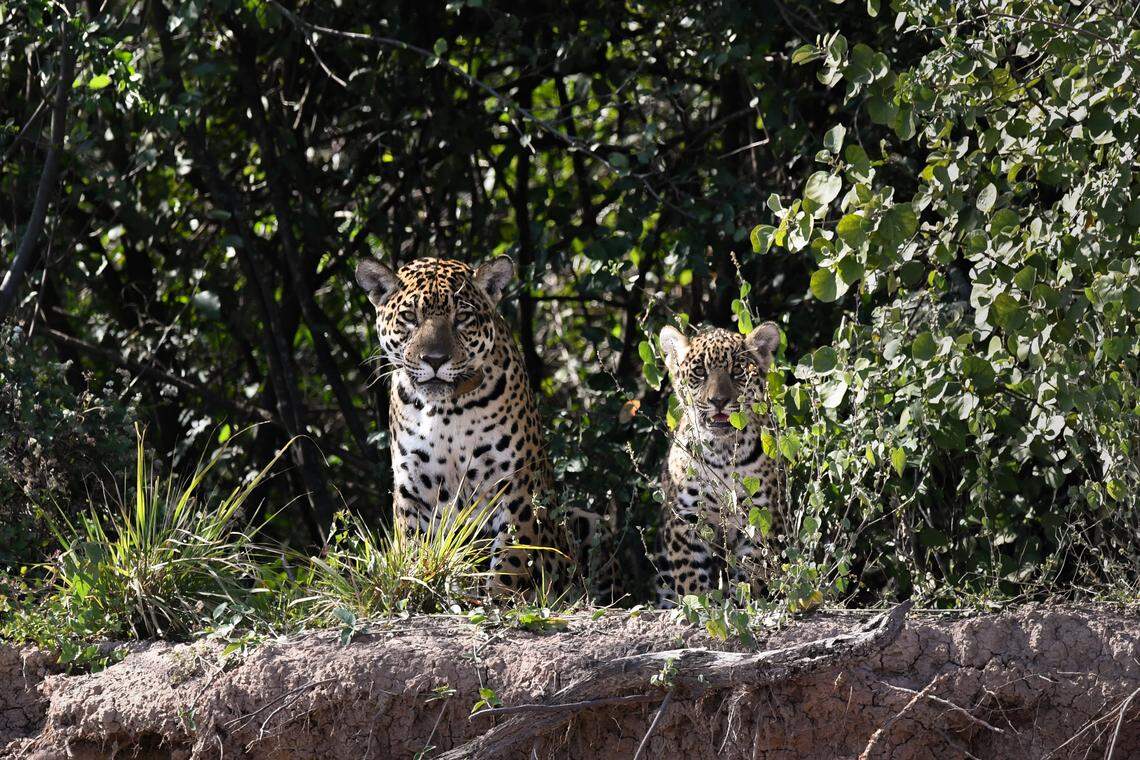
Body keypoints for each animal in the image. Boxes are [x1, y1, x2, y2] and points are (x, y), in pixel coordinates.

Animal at [355, 255, 570, 593]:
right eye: (410, 317)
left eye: (462, 317)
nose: (434, 359)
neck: (447, 411)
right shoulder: (412, 487)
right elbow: (413, 546)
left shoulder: (515, 485)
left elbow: (512, 555)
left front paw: (500, 596)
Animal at [652, 322, 786, 607]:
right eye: (700, 372)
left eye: (736, 371)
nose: (718, 401)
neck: (723, 453)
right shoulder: (687, 518)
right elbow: (690, 575)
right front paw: (700, 606)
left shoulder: (759, 516)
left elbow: (751, 573)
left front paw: (739, 606)